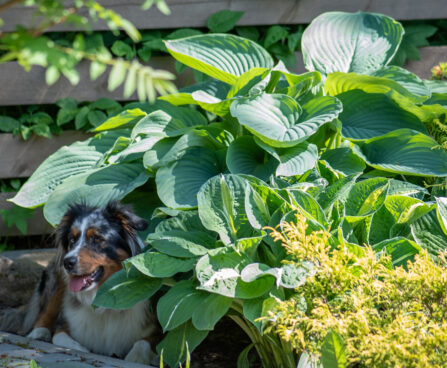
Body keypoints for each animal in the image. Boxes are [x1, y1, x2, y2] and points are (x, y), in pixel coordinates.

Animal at [0, 201, 161, 366]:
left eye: (96, 239)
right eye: (72, 240)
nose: (67, 262)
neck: (102, 302)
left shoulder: (156, 330)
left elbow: (141, 344)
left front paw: (135, 358)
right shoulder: (65, 325)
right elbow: (60, 337)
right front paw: (82, 350)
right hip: (57, 278)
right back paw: (38, 334)